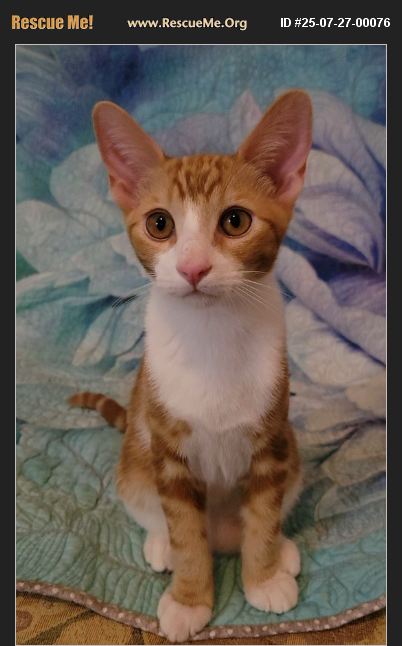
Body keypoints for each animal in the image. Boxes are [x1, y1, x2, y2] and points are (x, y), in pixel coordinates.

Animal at [69, 89, 312, 642]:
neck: (211, 334)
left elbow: (263, 512)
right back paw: (162, 545)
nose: (193, 267)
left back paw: (280, 550)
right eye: (160, 223)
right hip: (134, 461)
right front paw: (189, 600)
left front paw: (263, 575)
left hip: (292, 449)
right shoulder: (167, 449)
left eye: (236, 221)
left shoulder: (271, 439)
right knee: (154, 510)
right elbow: (183, 528)